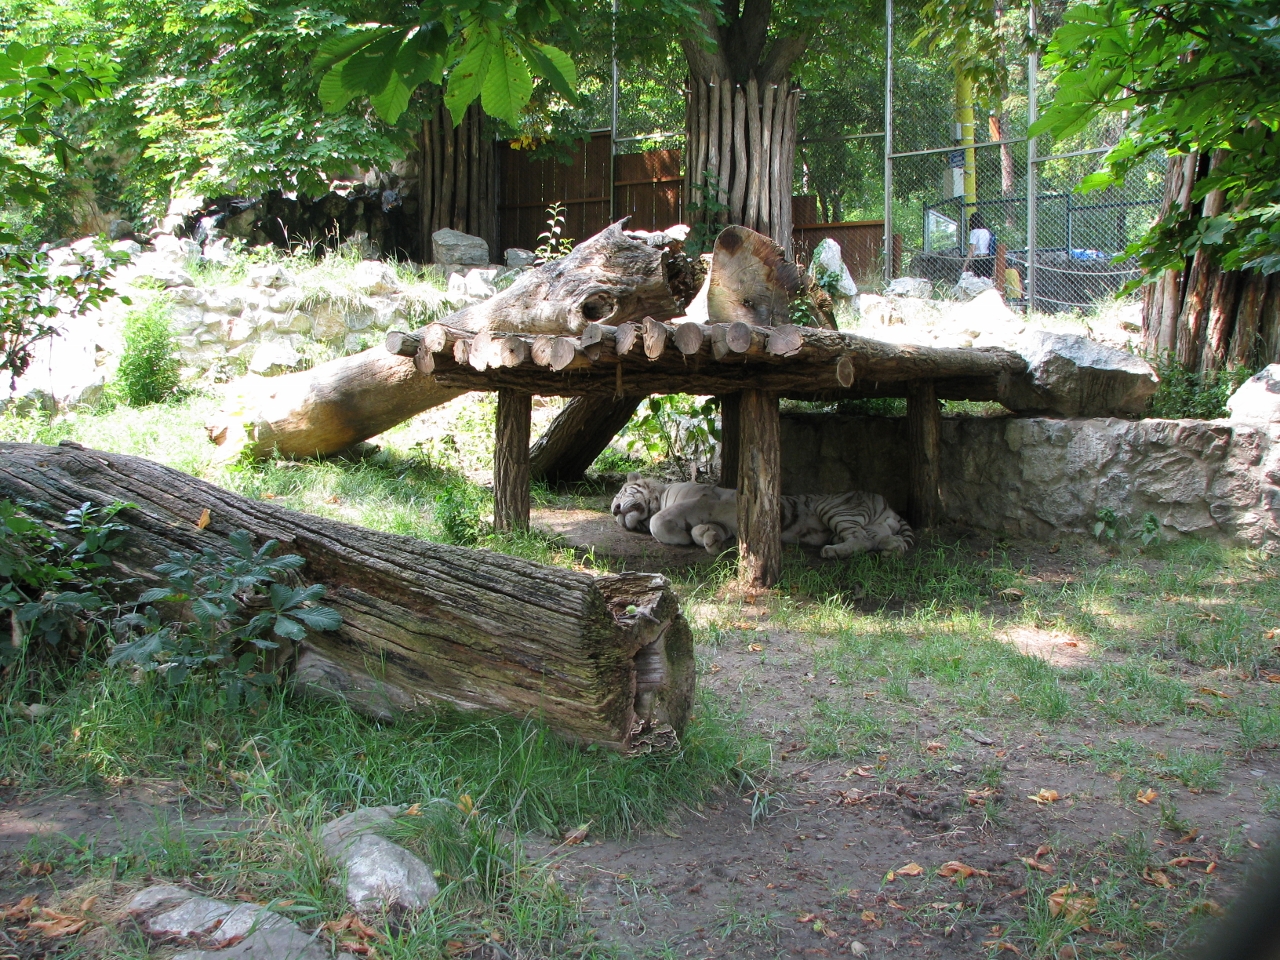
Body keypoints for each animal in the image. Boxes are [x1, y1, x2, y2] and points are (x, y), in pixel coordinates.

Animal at [610, 474, 914, 559]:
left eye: (621, 493)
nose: (614, 510)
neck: (660, 495)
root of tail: (889, 506)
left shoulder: (701, 500)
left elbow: (658, 521)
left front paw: (680, 537)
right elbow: (705, 530)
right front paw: (710, 541)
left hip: (836, 509)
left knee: (861, 539)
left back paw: (832, 551)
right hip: (875, 528)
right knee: (879, 541)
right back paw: (891, 551)